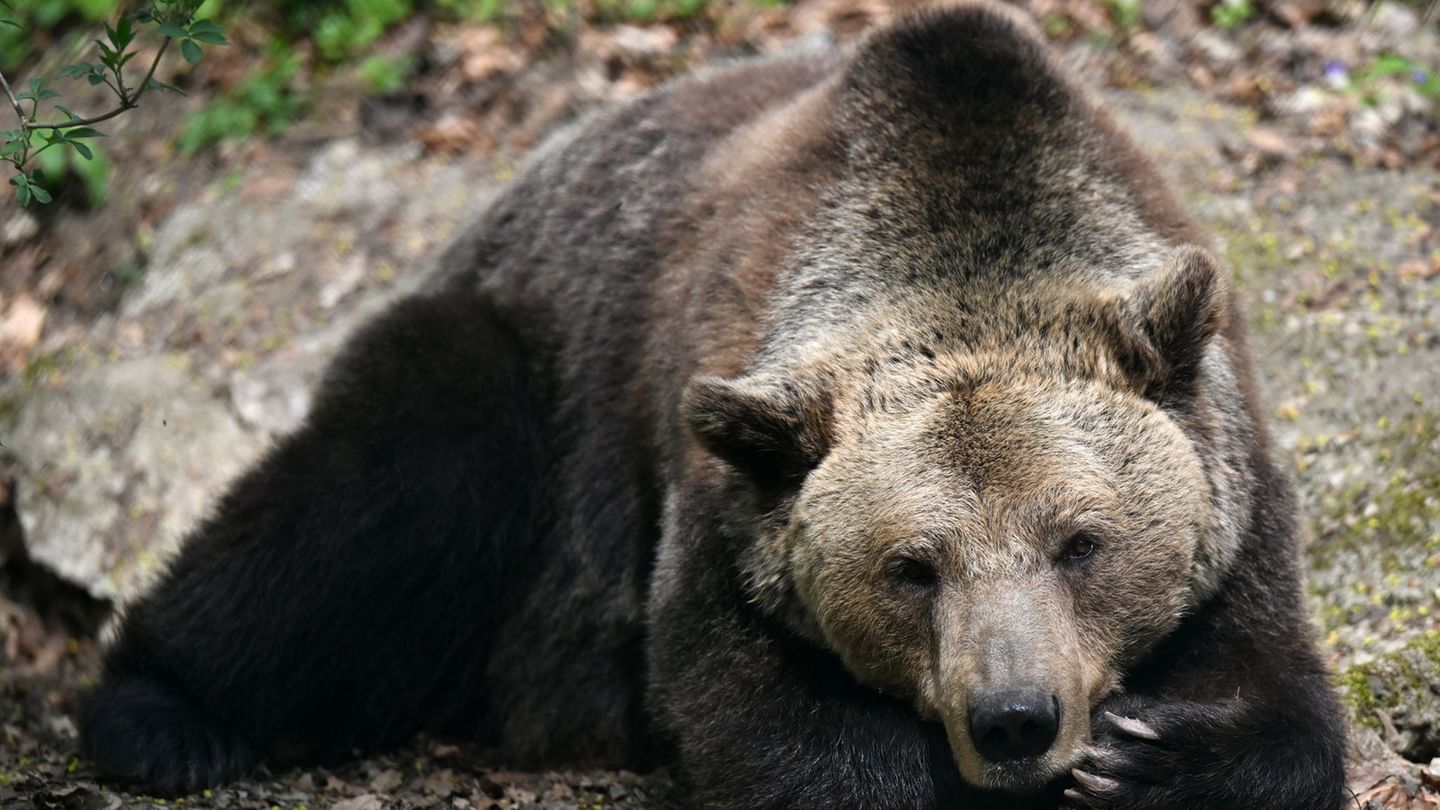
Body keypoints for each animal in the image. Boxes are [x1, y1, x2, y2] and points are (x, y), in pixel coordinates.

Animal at [79, 3, 1347, 808]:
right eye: (911, 566)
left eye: (1083, 541)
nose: (1015, 716)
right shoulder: (717, 490)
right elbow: (759, 719)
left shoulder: (1231, 489)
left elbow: (1282, 706)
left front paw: (1149, 757)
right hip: (527, 378)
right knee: (383, 492)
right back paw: (159, 715)